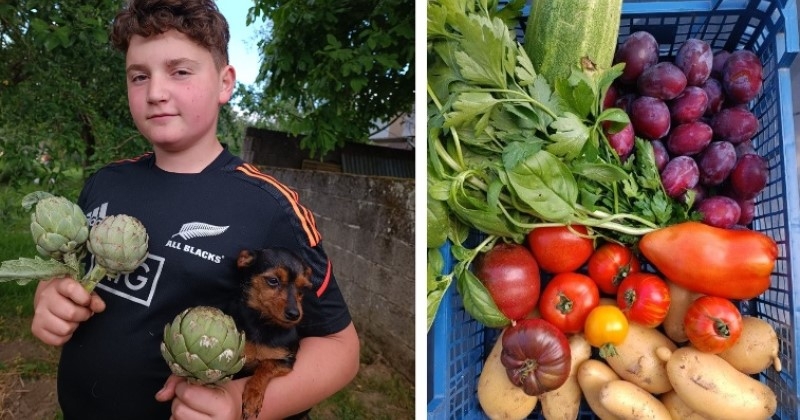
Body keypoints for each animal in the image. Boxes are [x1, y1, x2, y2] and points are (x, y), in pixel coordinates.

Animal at [234, 246, 312, 420]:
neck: (263, 323)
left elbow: (266, 365)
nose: (295, 314)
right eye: (273, 280)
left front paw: (252, 397)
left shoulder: (286, 360)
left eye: (302, 288)